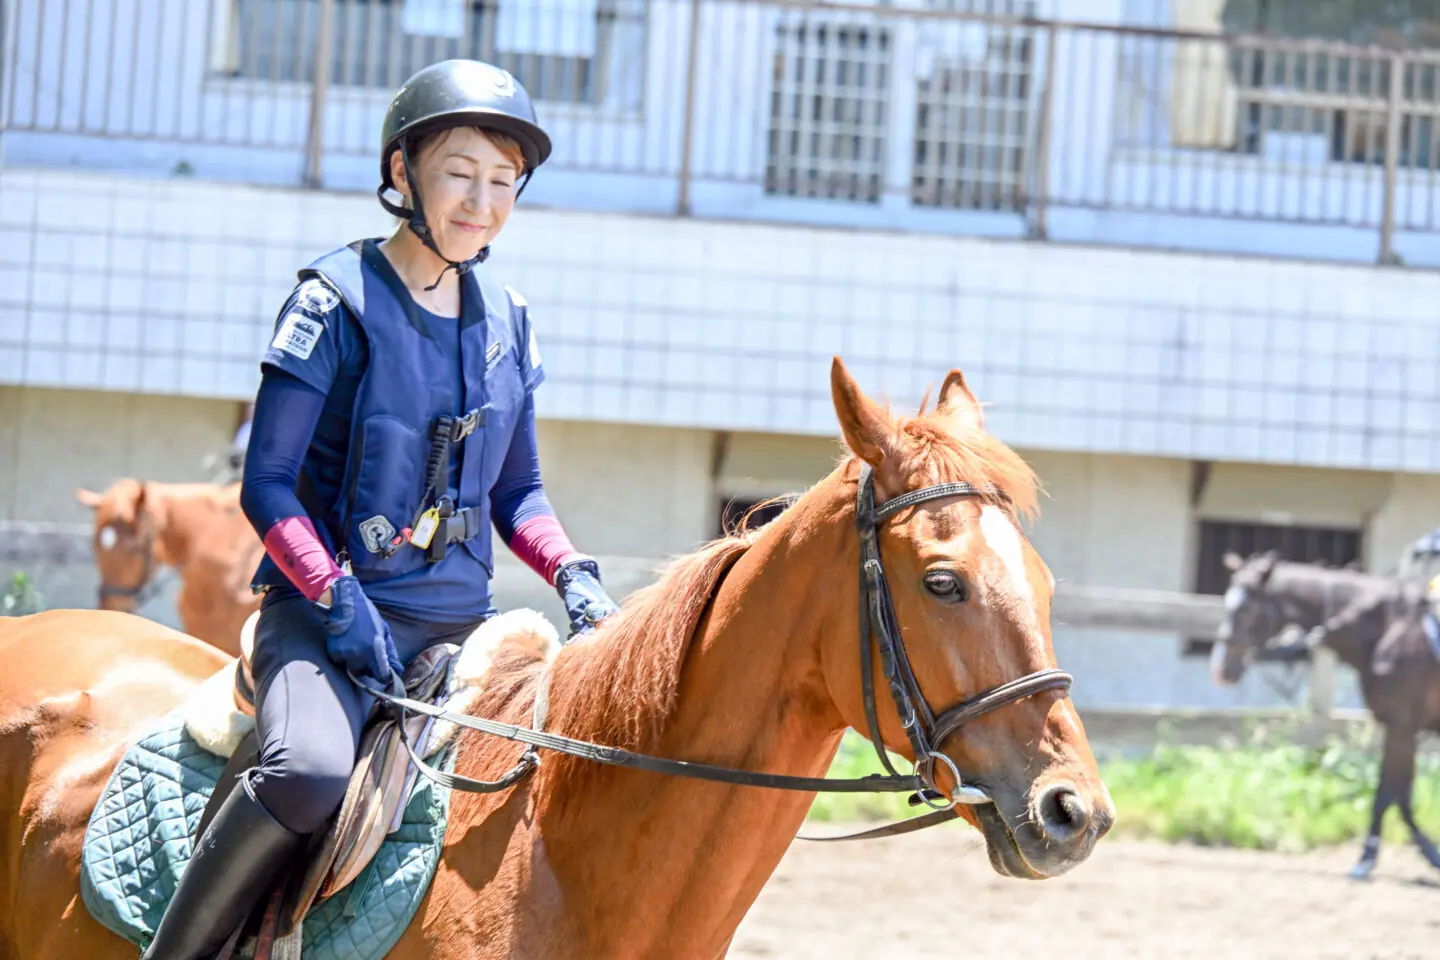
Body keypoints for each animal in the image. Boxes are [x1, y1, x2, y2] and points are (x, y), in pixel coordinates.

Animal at [1214, 550, 1440, 880]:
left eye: (1246, 609)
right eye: (1227, 604)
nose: (1220, 670)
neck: (1390, 629)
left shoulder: (1402, 726)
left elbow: (1389, 793)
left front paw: (1368, 859)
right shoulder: (1398, 727)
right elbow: (1398, 793)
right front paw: (1424, 852)